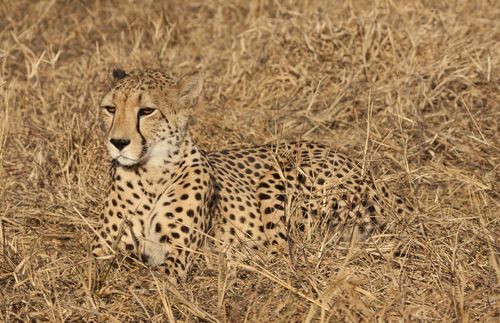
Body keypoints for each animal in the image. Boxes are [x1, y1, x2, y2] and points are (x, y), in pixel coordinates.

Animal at [92, 69, 412, 284]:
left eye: (147, 111)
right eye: (110, 108)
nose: (117, 143)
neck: (149, 172)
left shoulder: (177, 257)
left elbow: (150, 281)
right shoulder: (104, 250)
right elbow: (94, 272)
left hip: (280, 175)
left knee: (284, 253)